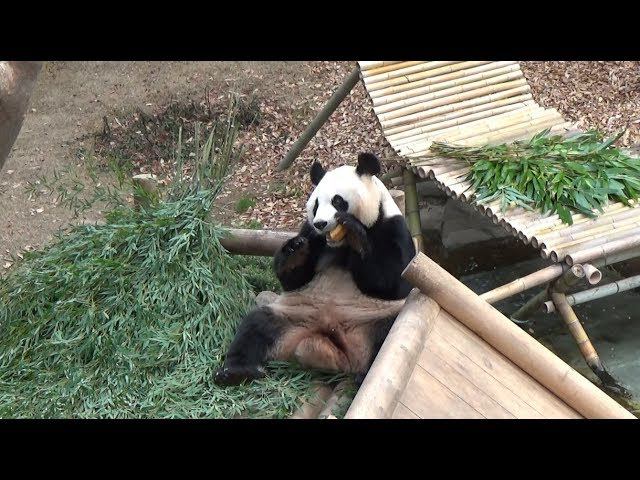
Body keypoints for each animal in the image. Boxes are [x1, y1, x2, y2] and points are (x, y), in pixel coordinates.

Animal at [214, 152, 416, 386]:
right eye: (316, 204)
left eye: (338, 201)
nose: (321, 223)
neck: (338, 244)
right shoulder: (310, 234)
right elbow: (294, 279)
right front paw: (294, 249)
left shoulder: (393, 228)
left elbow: (394, 282)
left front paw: (355, 233)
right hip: (294, 316)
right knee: (257, 325)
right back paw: (236, 372)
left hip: (371, 320)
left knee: (387, 335)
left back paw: (363, 375)